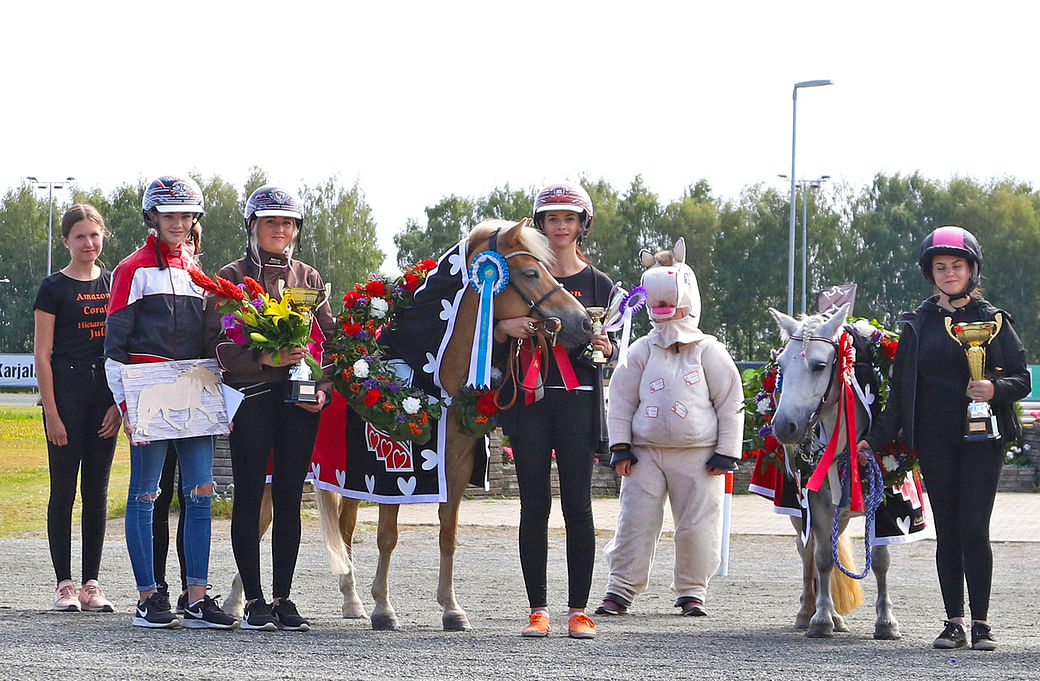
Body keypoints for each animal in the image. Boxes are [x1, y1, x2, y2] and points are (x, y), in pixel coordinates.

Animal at [223, 221, 590, 632]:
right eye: (529, 273)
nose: (584, 323)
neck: (436, 381)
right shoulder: (395, 474)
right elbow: (387, 536)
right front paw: (384, 609)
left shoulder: (455, 471)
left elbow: (447, 534)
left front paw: (451, 609)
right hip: (279, 471)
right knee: (260, 521)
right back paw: (237, 604)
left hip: (345, 476)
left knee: (344, 527)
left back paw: (350, 601)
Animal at [765, 303, 902, 640]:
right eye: (781, 366)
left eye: (819, 365)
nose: (784, 426)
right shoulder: (816, 503)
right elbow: (823, 558)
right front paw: (821, 618)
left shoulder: (884, 502)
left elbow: (881, 560)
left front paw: (886, 621)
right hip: (799, 512)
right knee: (808, 552)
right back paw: (809, 611)